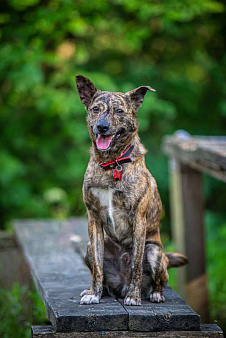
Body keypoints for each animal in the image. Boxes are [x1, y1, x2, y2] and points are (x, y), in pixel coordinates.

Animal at [75, 74, 185, 306]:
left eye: (119, 111)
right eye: (96, 109)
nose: (102, 127)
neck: (112, 164)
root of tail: (121, 285)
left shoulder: (138, 220)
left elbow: (135, 264)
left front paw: (133, 297)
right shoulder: (93, 218)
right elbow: (97, 266)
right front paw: (93, 293)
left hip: (154, 251)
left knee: (159, 279)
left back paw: (153, 293)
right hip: (88, 247)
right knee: (100, 271)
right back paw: (99, 290)